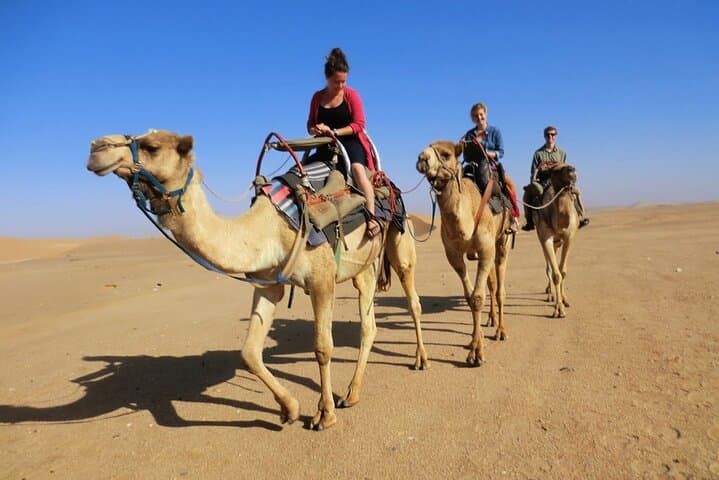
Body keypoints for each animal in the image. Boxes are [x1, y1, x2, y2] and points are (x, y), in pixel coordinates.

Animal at [86, 130, 429, 431]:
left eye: (152, 146)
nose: (96, 147)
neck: (270, 228)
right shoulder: (268, 284)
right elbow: (249, 352)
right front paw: (290, 409)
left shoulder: (321, 282)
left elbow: (323, 348)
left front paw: (324, 415)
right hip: (363, 268)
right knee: (369, 322)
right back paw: (353, 394)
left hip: (400, 237)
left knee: (412, 299)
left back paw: (419, 360)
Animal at [416, 141, 511, 366]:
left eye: (446, 154)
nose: (422, 158)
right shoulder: (453, 255)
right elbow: (470, 297)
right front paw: (475, 341)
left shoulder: (485, 249)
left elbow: (477, 297)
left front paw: (476, 353)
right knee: (492, 284)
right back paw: (491, 320)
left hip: (502, 241)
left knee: (500, 288)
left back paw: (501, 330)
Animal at [527, 163, 580, 318]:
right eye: (555, 170)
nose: (572, 171)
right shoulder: (546, 238)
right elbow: (556, 274)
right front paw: (558, 309)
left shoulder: (569, 237)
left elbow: (563, 272)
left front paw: (564, 300)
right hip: (541, 238)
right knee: (549, 268)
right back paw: (550, 294)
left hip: (558, 242)